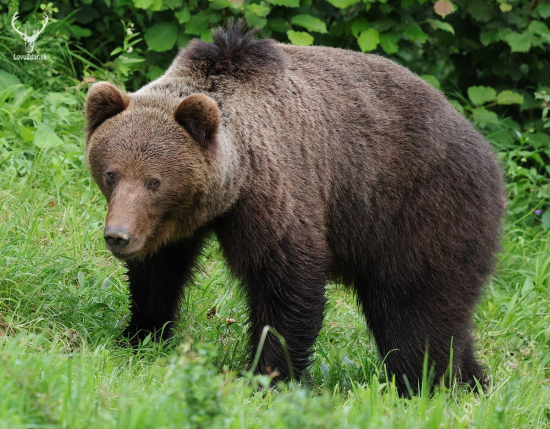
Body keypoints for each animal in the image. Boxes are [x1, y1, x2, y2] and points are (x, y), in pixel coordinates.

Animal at [85, 20, 504, 394]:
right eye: (111, 174)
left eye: (154, 181)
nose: (118, 236)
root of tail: (487, 150)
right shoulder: (168, 224)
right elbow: (158, 273)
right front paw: (139, 335)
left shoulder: (275, 189)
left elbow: (286, 280)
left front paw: (269, 376)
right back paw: (472, 382)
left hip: (421, 209)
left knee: (413, 308)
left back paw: (425, 384)